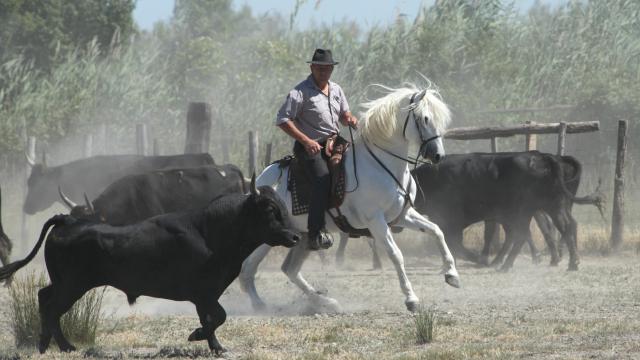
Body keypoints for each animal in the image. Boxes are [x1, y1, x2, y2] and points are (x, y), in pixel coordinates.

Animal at [0, 179, 300, 352]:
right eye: (270, 210)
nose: (296, 236)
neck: (210, 232)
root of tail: (68, 220)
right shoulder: (203, 293)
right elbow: (217, 317)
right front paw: (200, 338)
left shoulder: (206, 295)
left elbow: (212, 318)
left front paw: (212, 344)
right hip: (72, 286)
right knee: (52, 308)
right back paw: (65, 347)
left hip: (63, 283)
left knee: (44, 298)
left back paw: (43, 343)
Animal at [240, 83, 460, 310]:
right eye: (425, 118)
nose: (438, 155)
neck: (381, 165)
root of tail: (260, 182)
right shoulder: (376, 221)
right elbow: (396, 255)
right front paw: (411, 298)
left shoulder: (402, 215)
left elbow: (436, 230)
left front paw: (452, 274)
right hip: (268, 238)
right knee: (248, 269)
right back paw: (260, 305)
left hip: (302, 236)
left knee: (289, 270)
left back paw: (326, 301)